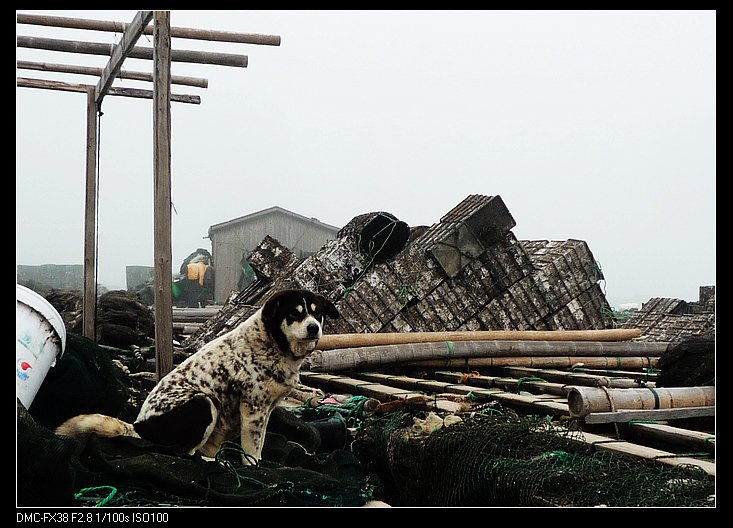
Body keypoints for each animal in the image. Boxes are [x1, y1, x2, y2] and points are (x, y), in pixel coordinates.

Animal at [56, 288, 340, 466]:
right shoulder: (253, 409)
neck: (273, 342)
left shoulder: (266, 409)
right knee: (180, 453)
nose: (314, 327)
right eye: (294, 313)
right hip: (204, 403)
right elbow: (252, 450)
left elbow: (258, 444)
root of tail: (139, 427)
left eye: (318, 313)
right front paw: (254, 469)